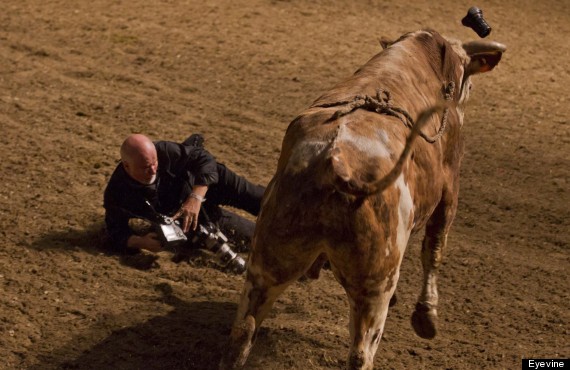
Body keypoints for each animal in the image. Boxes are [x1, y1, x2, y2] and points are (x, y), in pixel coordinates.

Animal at [220, 29, 504, 370]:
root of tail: (334, 161)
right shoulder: (450, 187)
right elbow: (434, 249)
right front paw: (426, 316)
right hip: (375, 285)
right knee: (360, 353)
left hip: (269, 257)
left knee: (242, 331)